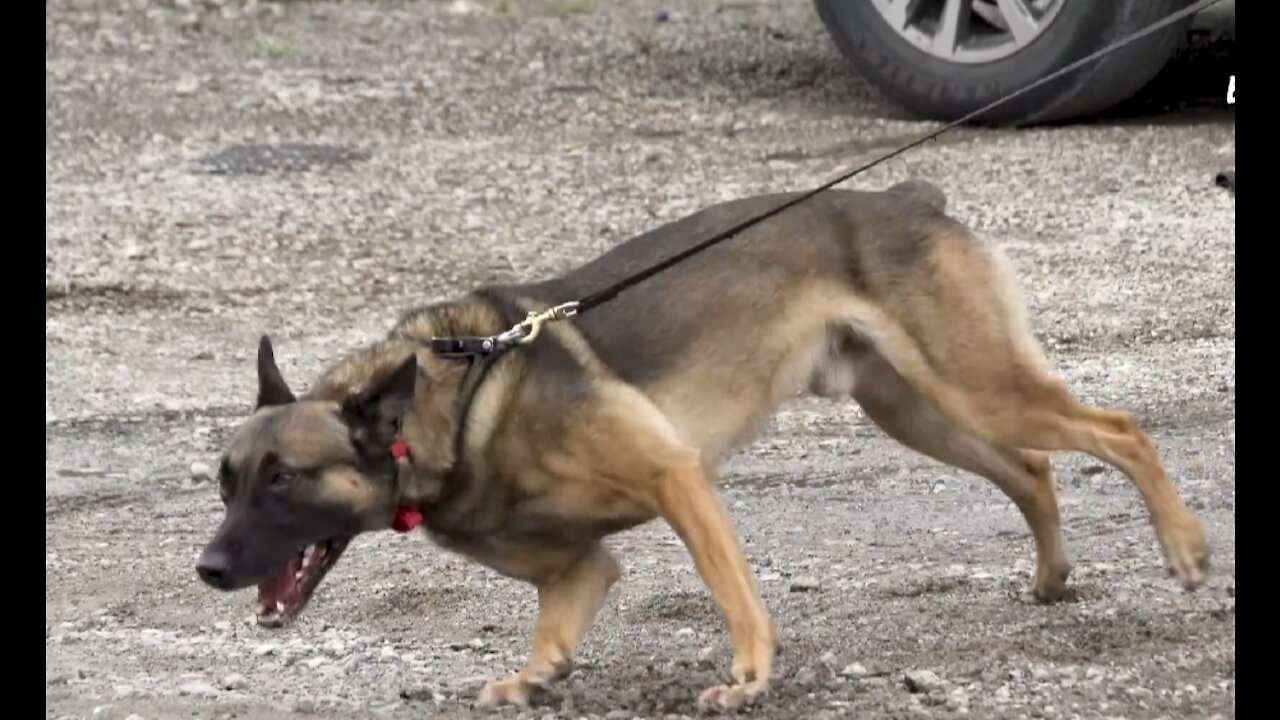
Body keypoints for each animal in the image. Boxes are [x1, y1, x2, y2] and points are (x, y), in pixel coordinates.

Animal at [192, 179, 1208, 707]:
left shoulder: (676, 479)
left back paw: (1185, 548)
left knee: (1118, 431)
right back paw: (1052, 576)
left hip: (976, 391)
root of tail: (906, 193)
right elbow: (555, 627)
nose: (207, 569)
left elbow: (732, 593)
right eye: (226, 481)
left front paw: (750, 677)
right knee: (1034, 469)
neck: (457, 403)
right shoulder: (579, 568)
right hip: (922, 412)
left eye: (285, 480)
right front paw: (534, 678)